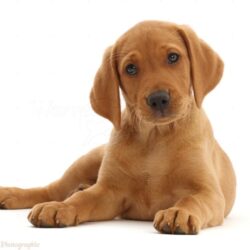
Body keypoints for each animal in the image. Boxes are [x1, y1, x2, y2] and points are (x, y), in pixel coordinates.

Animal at [0, 21, 236, 234]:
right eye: (130, 69)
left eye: (173, 57)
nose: (158, 99)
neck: (155, 136)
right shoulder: (108, 192)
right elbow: (81, 199)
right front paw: (62, 207)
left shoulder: (209, 193)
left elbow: (192, 200)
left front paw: (179, 212)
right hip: (86, 162)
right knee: (53, 189)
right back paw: (16, 195)